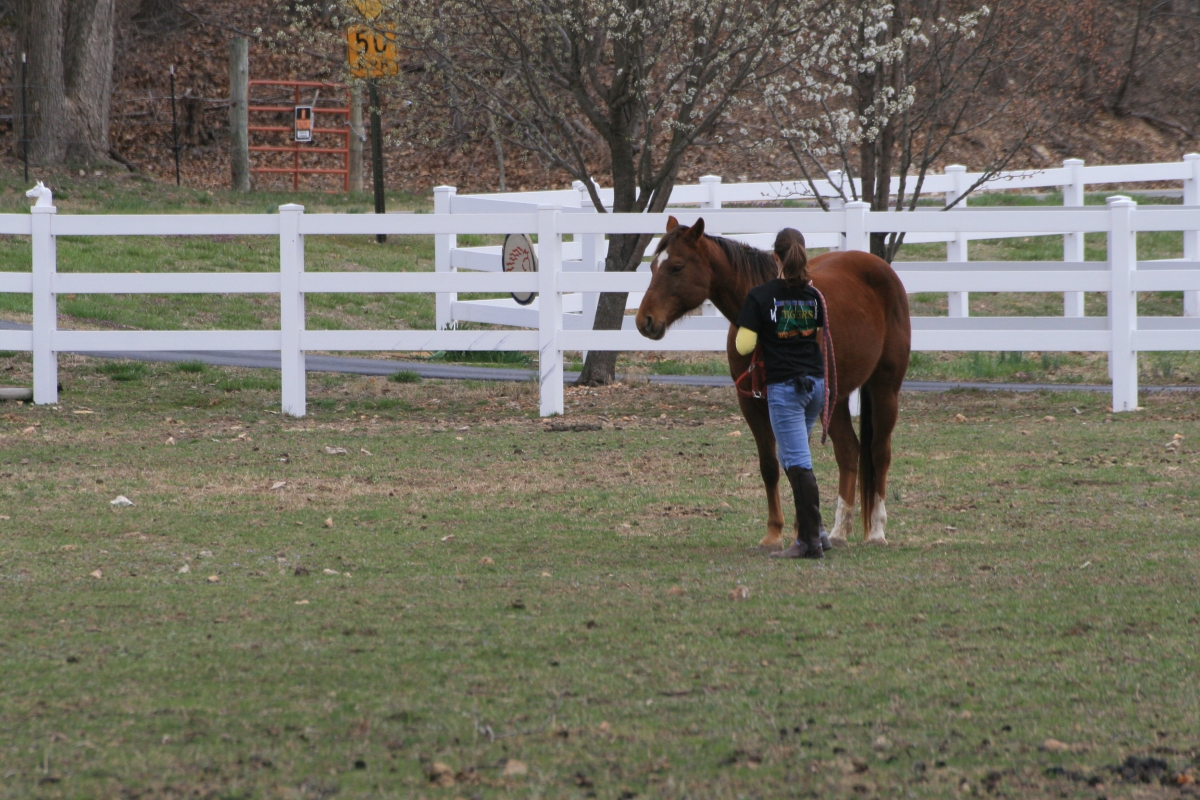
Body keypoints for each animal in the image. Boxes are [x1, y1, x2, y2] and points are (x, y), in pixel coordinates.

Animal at [635, 217, 911, 547]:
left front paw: (800, 531)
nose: (644, 320)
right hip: (836, 398)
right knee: (849, 452)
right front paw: (773, 533)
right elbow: (769, 465)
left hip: (885, 389)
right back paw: (839, 532)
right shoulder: (751, 403)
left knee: (879, 452)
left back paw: (877, 531)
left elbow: (796, 462)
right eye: (653, 266)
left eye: (676, 267)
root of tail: (879, 266)